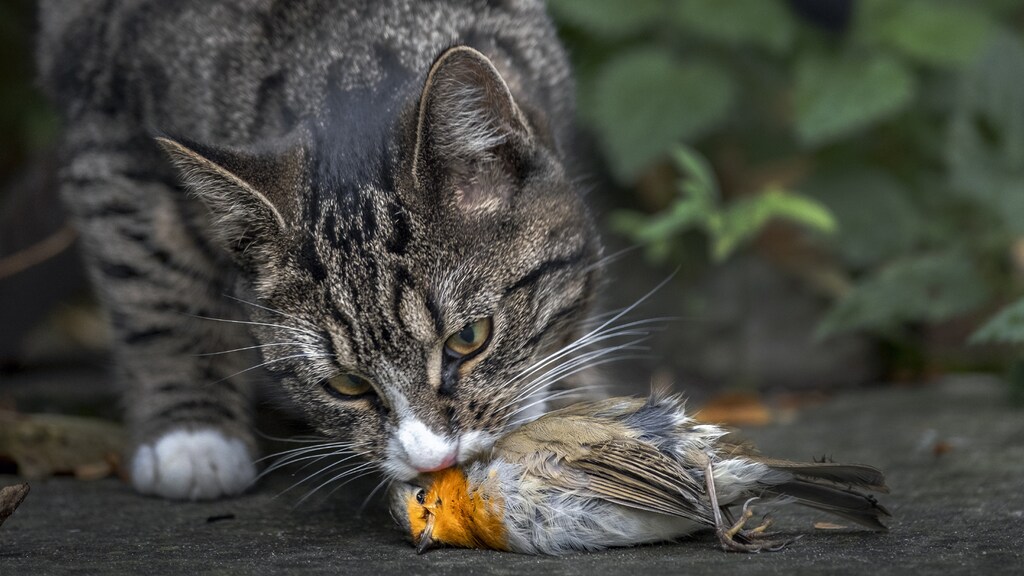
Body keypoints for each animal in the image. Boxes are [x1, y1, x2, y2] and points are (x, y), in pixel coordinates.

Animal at [36, 0, 602, 498]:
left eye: (469, 338)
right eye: (347, 385)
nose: (433, 459)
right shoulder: (107, 135)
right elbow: (153, 285)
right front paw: (192, 439)